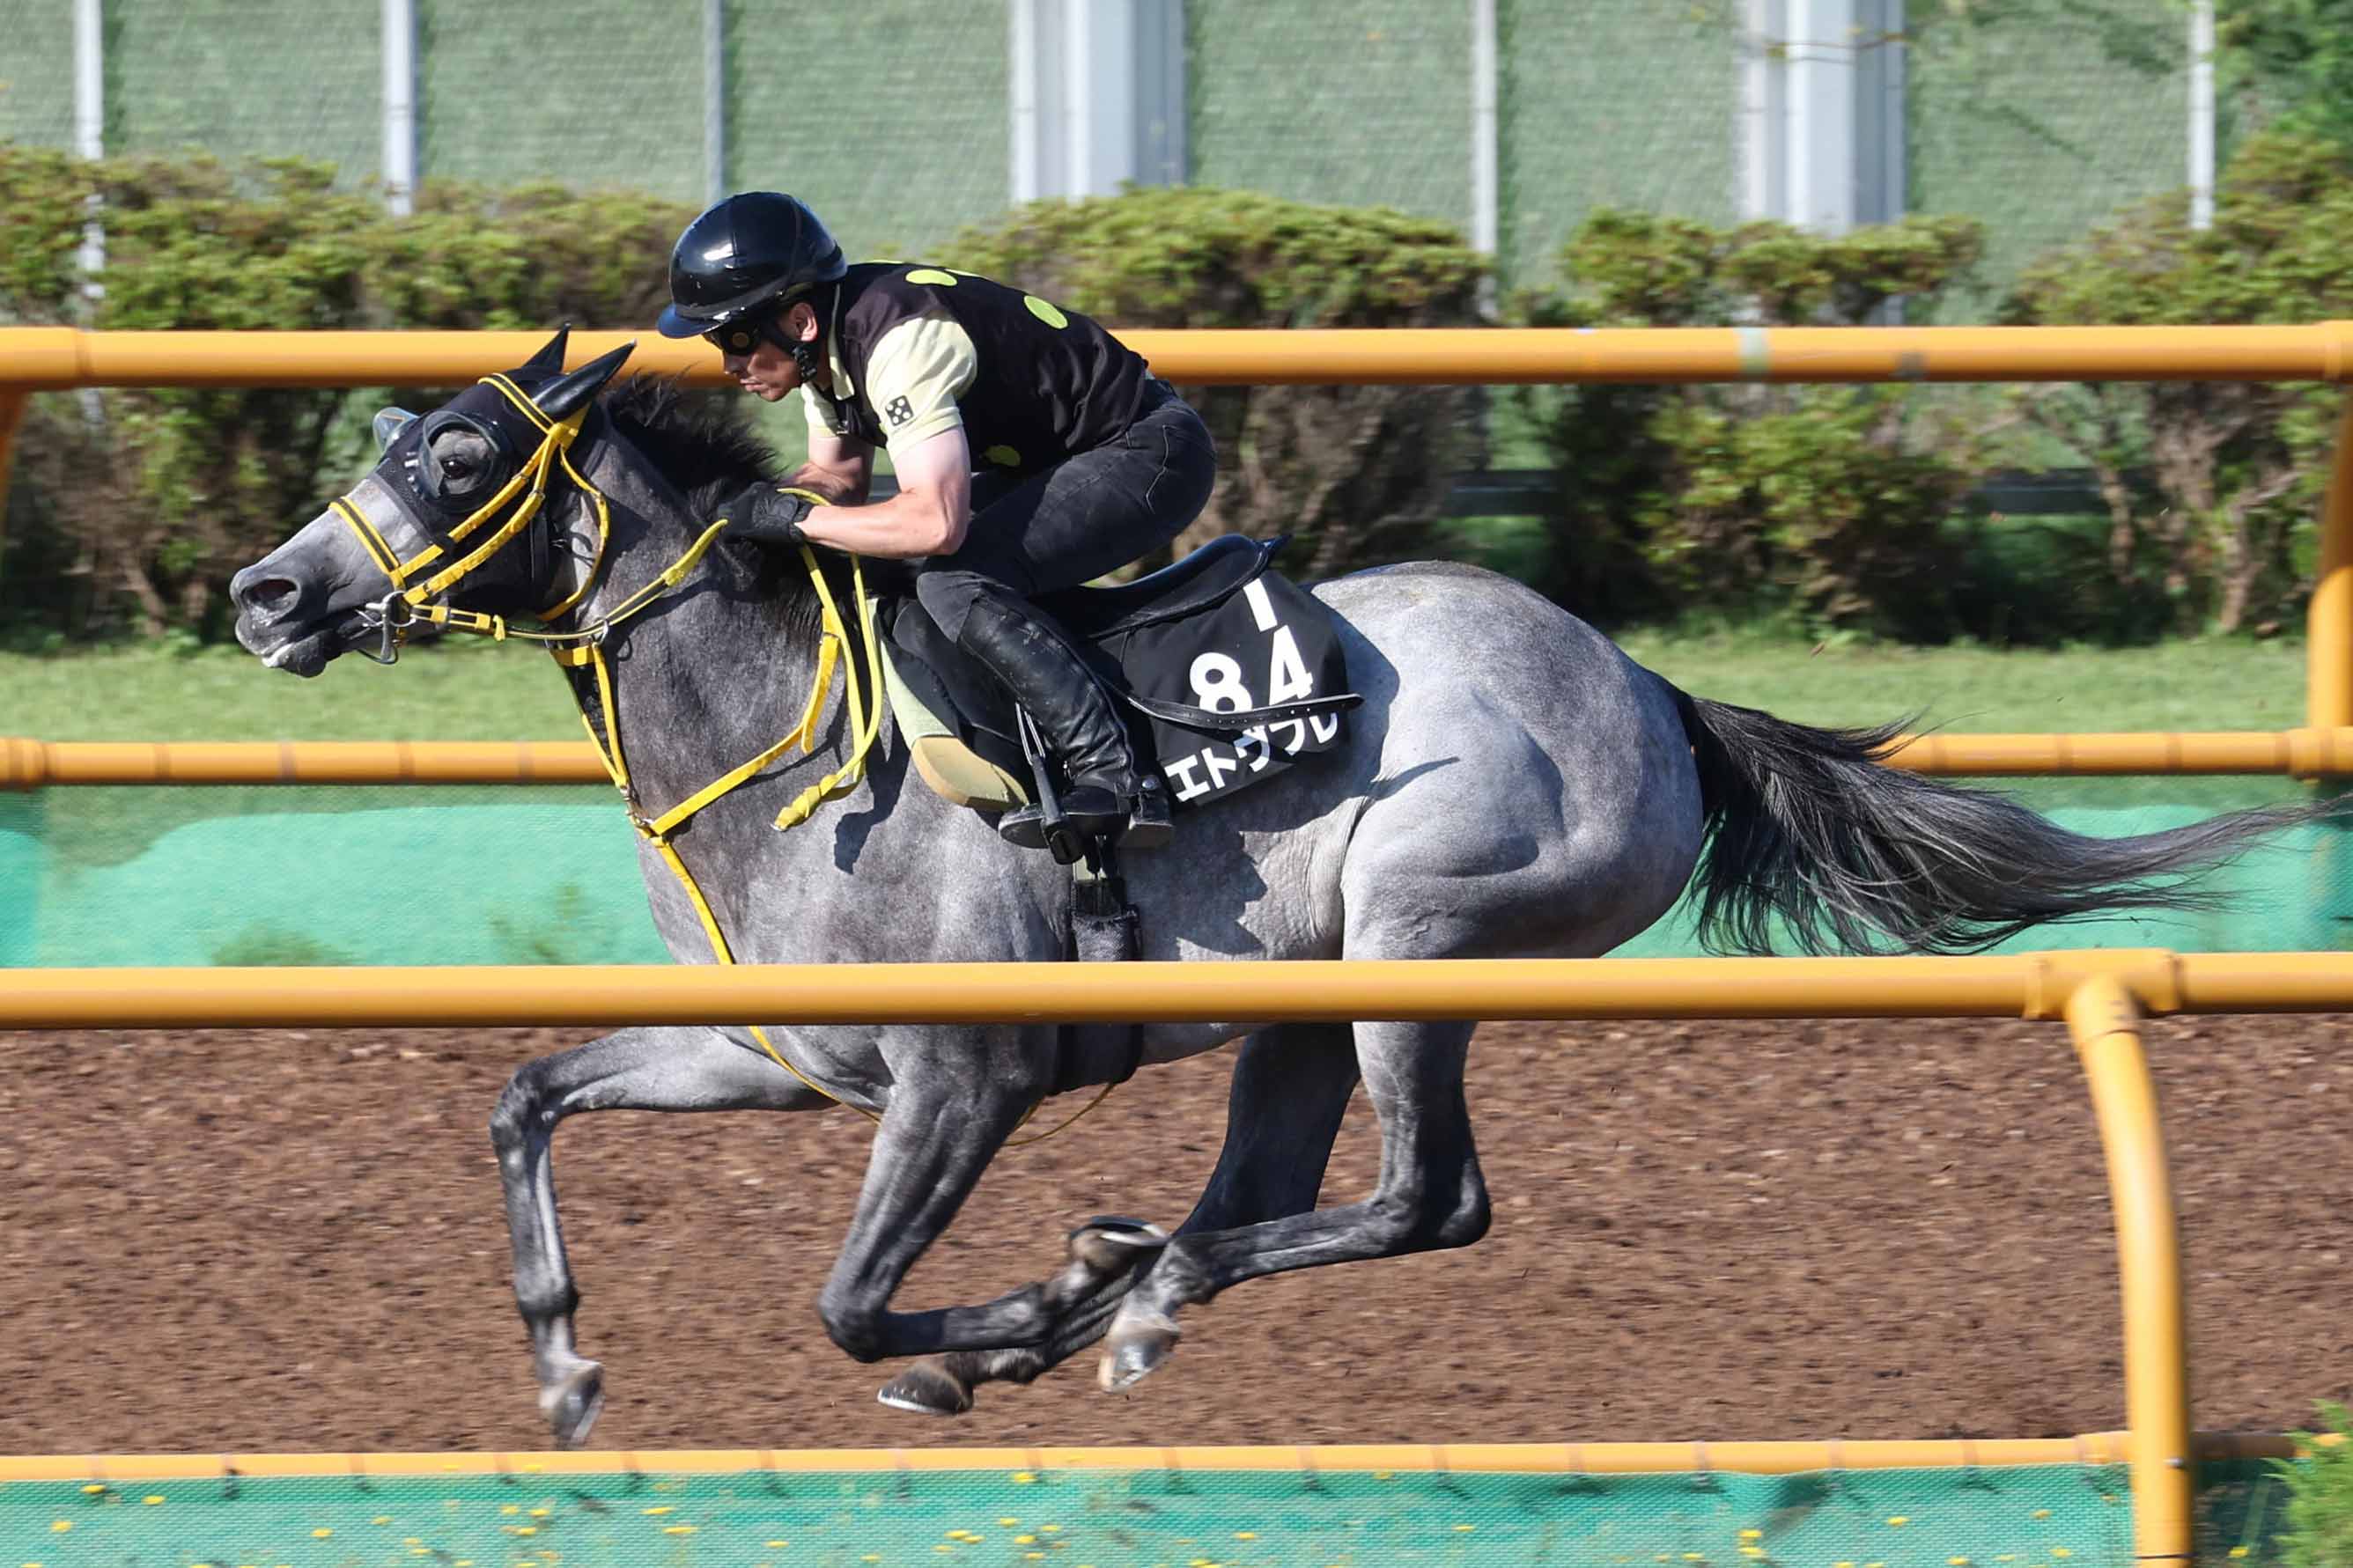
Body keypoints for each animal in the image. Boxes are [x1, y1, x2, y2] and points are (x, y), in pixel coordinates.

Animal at [230, 332, 2301, 1446]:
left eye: (458, 452)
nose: (265, 594)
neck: (783, 740)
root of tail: (1645, 684)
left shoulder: (963, 1075)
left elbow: (849, 1305)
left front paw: (1002, 1310)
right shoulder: (779, 1056)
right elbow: (525, 1096)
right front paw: (565, 1363)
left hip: (1416, 939)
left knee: (1423, 1198)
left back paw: (1126, 1296)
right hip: (1302, 1000)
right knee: (1270, 1191)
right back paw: (1106, 1285)